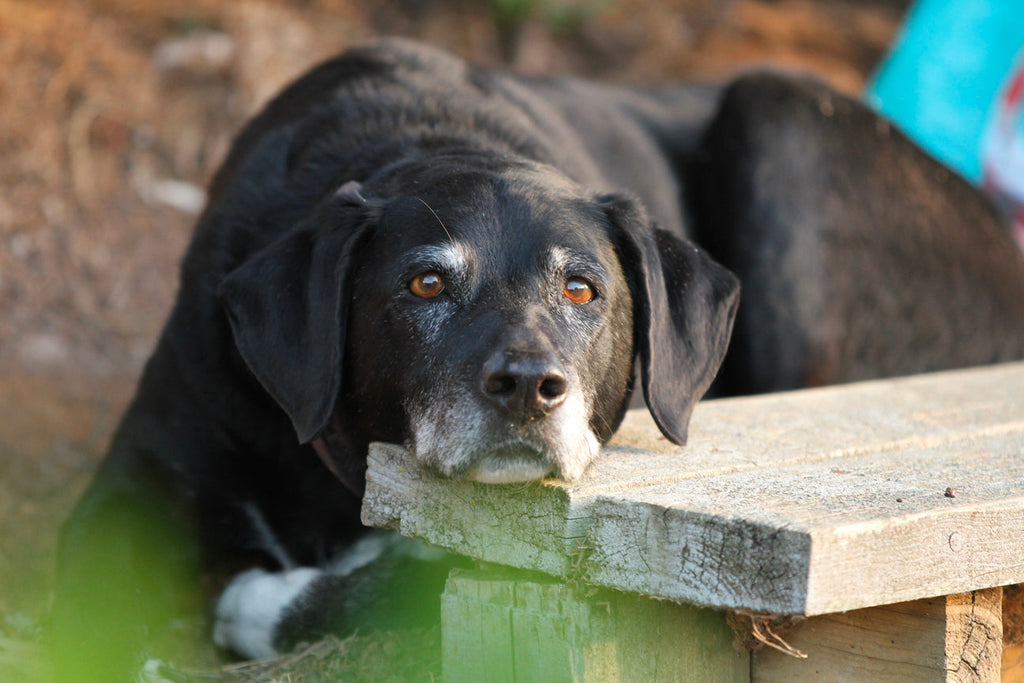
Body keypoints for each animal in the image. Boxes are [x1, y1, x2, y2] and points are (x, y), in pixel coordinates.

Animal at [54, 40, 1024, 679]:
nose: (528, 387)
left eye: (582, 290)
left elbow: (375, 582)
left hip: (783, 121)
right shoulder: (127, 493)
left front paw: (254, 604)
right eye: (425, 285)